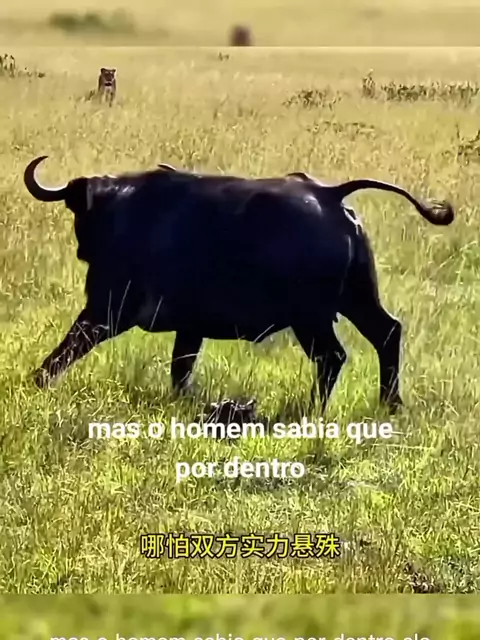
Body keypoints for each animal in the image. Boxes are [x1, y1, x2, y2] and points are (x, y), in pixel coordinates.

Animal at [24, 156, 454, 411]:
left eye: (79, 211)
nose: (83, 248)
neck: (127, 210)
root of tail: (330, 196)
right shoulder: (189, 328)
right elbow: (181, 369)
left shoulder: (104, 312)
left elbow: (66, 348)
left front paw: (37, 381)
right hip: (356, 301)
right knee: (387, 334)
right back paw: (389, 403)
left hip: (311, 320)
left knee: (332, 357)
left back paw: (314, 407)